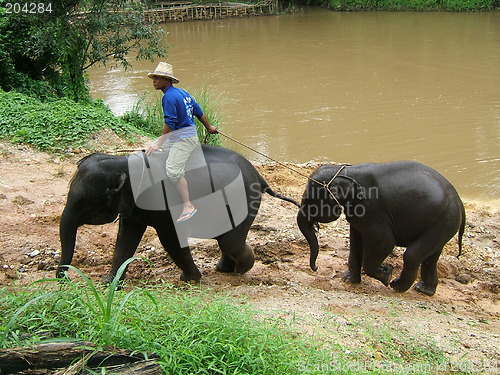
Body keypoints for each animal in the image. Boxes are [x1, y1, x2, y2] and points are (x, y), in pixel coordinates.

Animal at [58, 145, 300, 284]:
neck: (124, 163)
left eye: (84, 203)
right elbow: (125, 238)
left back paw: (242, 269)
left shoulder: (164, 204)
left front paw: (190, 279)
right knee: (227, 238)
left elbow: (170, 239)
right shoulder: (133, 208)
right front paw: (110, 283)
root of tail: (260, 177)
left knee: (231, 240)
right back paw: (225, 269)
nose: (63, 280)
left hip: (241, 200)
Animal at [296, 162, 464, 296]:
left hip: (445, 221)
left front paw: (386, 275)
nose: (316, 268)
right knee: (430, 258)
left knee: (412, 255)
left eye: (308, 201)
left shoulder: (373, 210)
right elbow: (356, 243)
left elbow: (384, 244)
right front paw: (349, 280)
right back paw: (423, 290)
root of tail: (459, 201)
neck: (347, 171)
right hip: (443, 223)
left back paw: (397, 286)